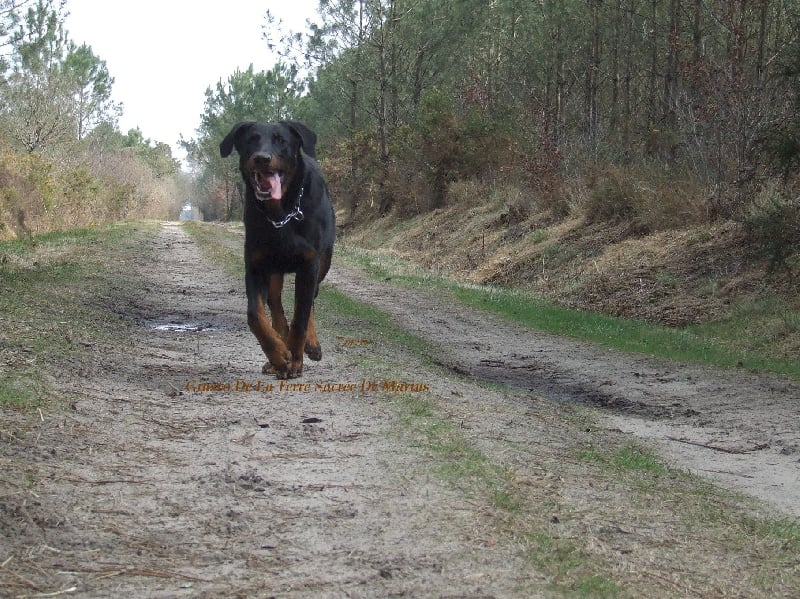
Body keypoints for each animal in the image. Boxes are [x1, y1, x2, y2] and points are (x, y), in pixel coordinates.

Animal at [219, 121, 334, 380]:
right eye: (251, 139)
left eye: (281, 140)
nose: (262, 158)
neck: (281, 214)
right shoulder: (256, 266)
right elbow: (255, 315)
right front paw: (280, 356)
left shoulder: (309, 264)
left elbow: (301, 317)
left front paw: (296, 360)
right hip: (274, 270)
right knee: (276, 306)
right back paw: (278, 354)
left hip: (323, 263)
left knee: (311, 300)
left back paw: (311, 344)